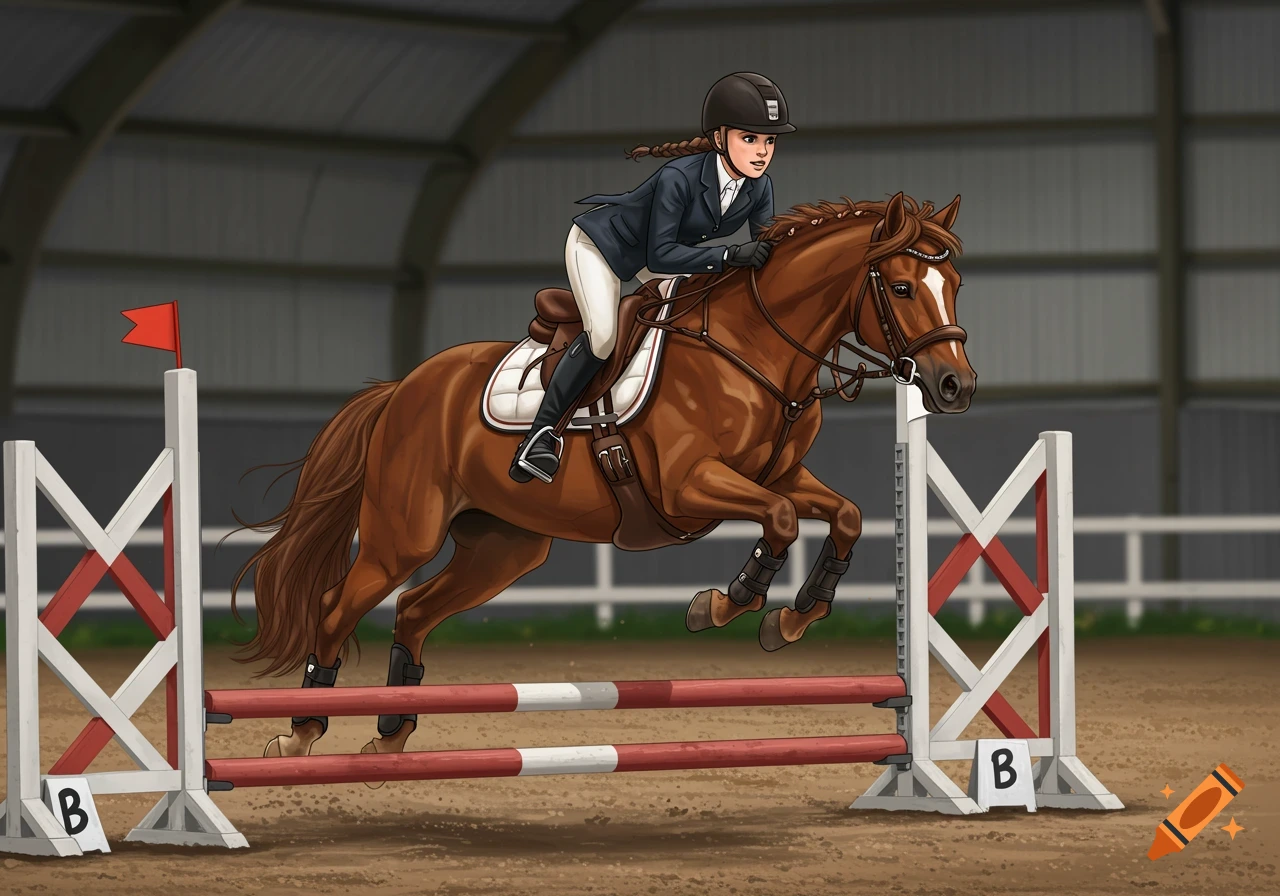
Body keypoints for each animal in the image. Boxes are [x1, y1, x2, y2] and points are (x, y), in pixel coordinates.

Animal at [230, 191, 976, 762]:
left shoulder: (782, 474)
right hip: (402, 535)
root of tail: (403, 388)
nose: (956, 387)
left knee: (414, 609)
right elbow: (784, 520)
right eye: (902, 287)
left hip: (504, 546)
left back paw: (390, 734)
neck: (754, 350)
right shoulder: (688, 484)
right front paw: (724, 604)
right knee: (338, 605)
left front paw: (793, 619)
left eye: (955, 286)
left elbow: (841, 514)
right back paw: (300, 735)